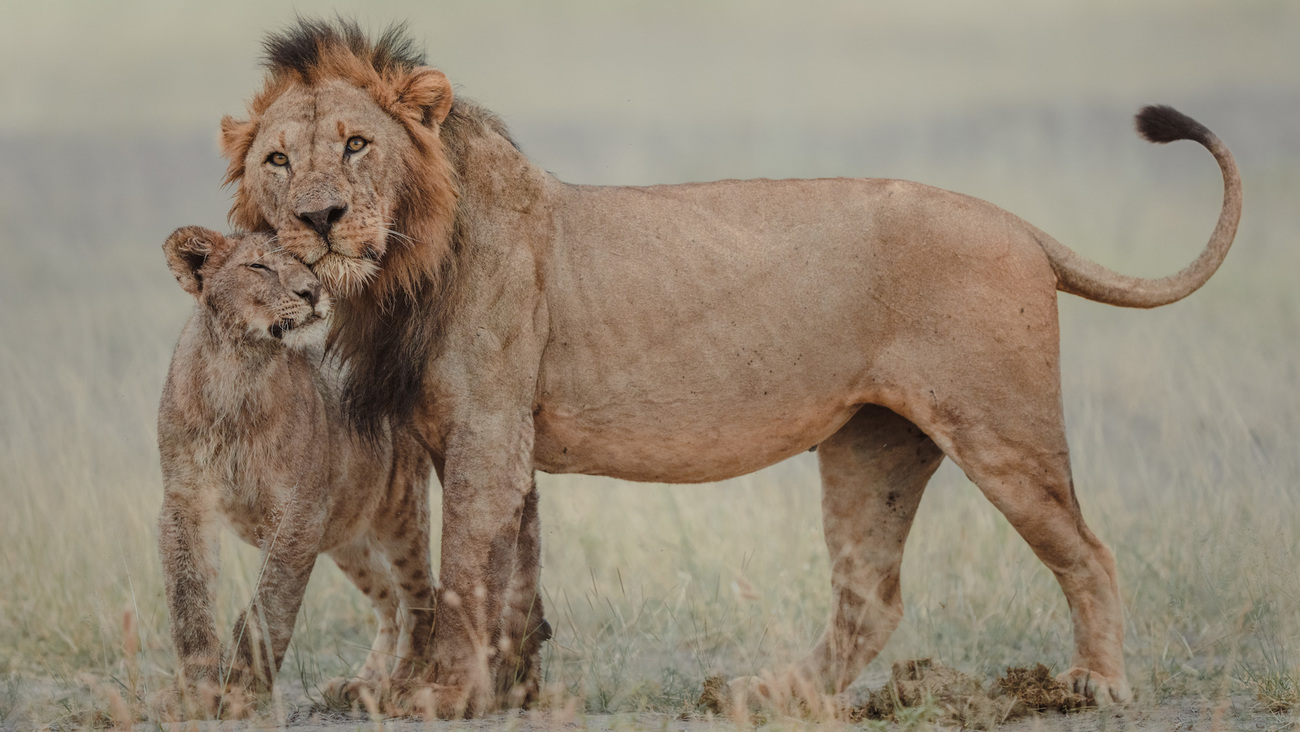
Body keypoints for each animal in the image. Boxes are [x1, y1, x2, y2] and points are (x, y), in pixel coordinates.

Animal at [220, 20, 1237, 717]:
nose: (318, 219)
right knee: (871, 599)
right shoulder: (482, 443)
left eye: (357, 145)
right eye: (277, 162)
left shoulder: (487, 436)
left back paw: (1094, 685)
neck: (403, 266)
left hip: (1002, 429)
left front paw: (436, 696)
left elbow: (462, 572)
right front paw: (492, 690)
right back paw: (767, 695)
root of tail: (1019, 223)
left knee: (1090, 553)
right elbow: (500, 577)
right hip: (874, 447)